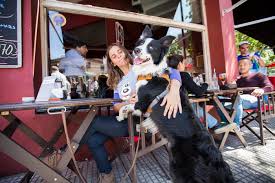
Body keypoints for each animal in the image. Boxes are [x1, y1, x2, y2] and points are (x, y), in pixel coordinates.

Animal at [132, 26, 235, 183]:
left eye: (151, 47)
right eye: (141, 42)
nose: (136, 50)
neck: (150, 72)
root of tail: (215, 158)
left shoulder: (141, 103)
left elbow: (130, 105)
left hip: (178, 166)